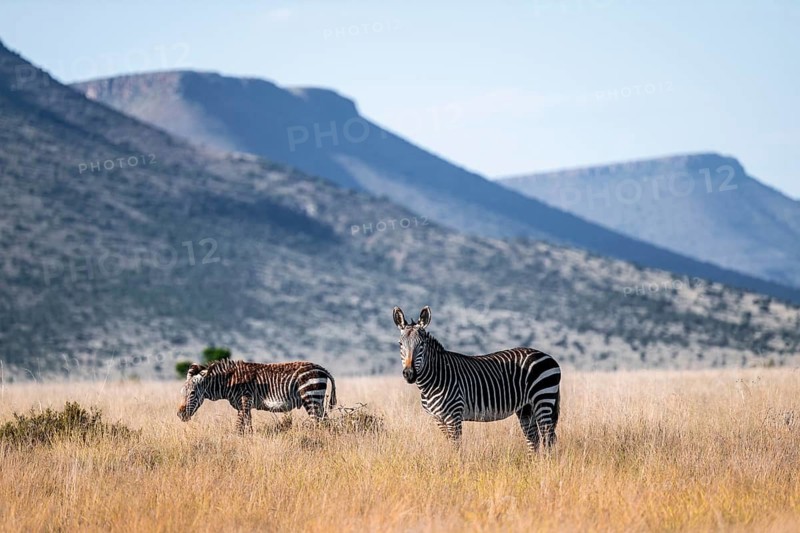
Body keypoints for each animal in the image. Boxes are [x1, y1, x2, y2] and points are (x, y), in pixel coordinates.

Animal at [177, 359, 337, 434]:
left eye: (192, 393)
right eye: (182, 393)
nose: (180, 414)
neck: (229, 381)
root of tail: (321, 368)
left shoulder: (244, 400)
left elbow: (239, 427)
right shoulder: (244, 406)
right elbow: (248, 425)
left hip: (310, 397)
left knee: (317, 422)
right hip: (318, 400)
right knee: (325, 421)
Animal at [393, 306, 561, 451]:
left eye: (421, 345)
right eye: (400, 344)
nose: (409, 374)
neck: (434, 379)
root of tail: (548, 357)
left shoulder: (453, 416)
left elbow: (456, 448)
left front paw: (456, 467)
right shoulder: (438, 419)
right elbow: (450, 447)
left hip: (543, 399)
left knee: (548, 438)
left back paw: (546, 465)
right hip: (526, 408)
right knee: (534, 439)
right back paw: (533, 464)